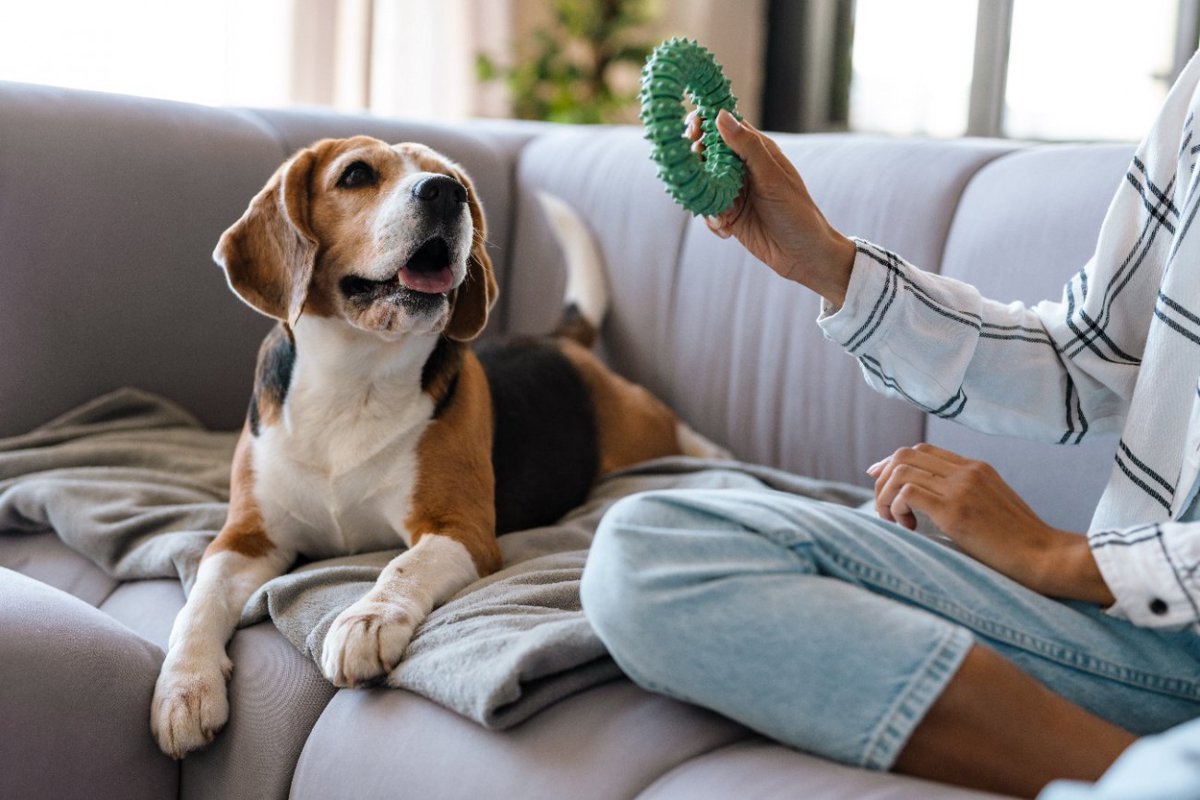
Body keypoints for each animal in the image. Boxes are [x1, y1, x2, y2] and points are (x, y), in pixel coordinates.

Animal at [152, 136, 729, 758]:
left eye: (455, 183)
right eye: (356, 174)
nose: (445, 193)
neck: (353, 381)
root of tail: (555, 340)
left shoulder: (462, 529)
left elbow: (403, 566)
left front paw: (367, 621)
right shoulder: (245, 538)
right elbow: (200, 602)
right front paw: (184, 687)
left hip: (642, 427)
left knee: (686, 434)